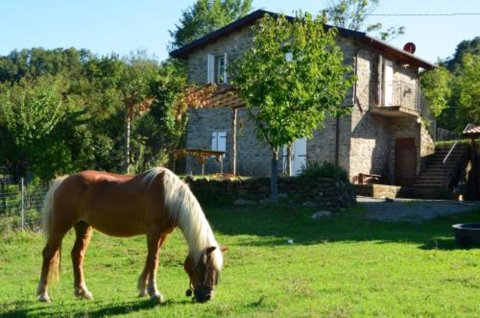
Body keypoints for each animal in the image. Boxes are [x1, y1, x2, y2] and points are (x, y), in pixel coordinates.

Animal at [36, 166, 224, 304]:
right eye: (205, 268)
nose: (207, 297)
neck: (168, 196)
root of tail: (64, 180)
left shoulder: (162, 235)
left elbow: (150, 258)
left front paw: (143, 289)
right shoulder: (154, 232)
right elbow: (154, 260)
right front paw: (155, 293)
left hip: (83, 227)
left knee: (77, 255)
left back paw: (82, 292)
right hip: (60, 228)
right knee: (48, 254)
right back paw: (43, 294)